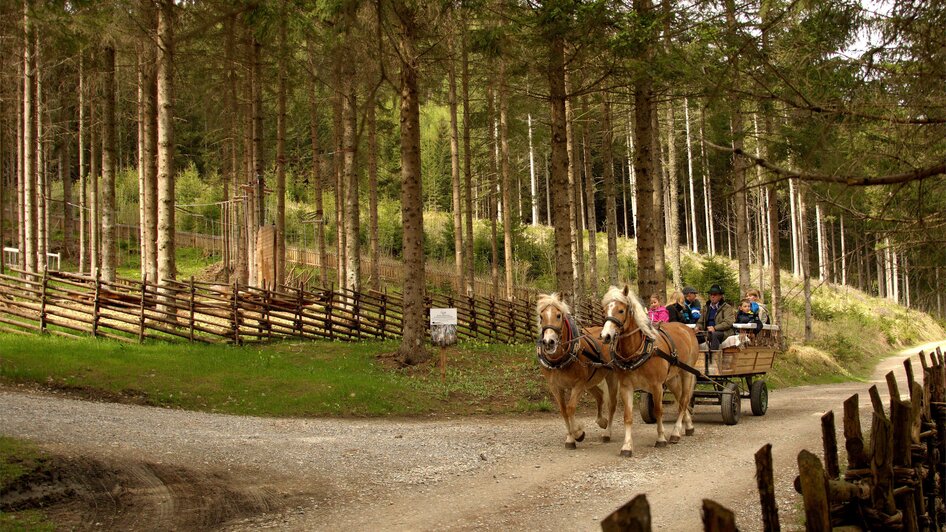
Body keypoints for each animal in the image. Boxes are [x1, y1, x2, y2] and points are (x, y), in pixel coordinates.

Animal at [540, 294, 620, 446]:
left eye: (558, 315)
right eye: (541, 316)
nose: (548, 342)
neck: (560, 361)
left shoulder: (578, 384)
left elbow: (570, 408)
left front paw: (578, 433)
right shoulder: (555, 386)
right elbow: (563, 410)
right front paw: (570, 437)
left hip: (610, 377)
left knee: (612, 404)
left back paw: (607, 433)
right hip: (590, 382)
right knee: (600, 397)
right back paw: (601, 421)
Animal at [596, 286, 700, 458]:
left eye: (621, 310)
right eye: (604, 311)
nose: (606, 336)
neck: (637, 350)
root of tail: (686, 329)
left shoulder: (657, 386)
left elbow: (658, 411)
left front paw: (661, 438)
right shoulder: (626, 387)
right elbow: (628, 416)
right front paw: (626, 446)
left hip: (686, 373)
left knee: (684, 401)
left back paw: (676, 432)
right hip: (671, 378)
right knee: (680, 400)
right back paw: (689, 426)